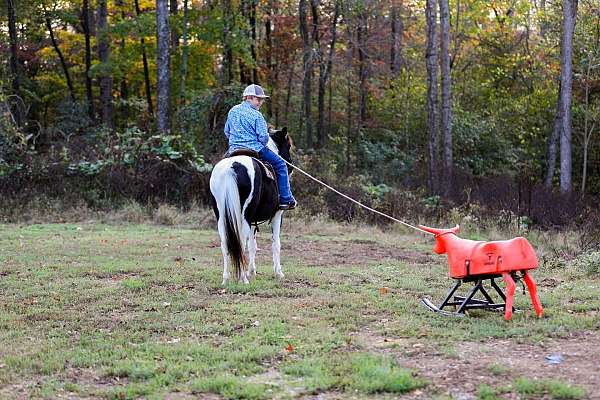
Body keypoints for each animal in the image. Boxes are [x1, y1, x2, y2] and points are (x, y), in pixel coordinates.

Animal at [210, 128, 294, 284]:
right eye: (288, 145)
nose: (290, 166)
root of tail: (232, 166)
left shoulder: (253, 220)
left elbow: (252, 245)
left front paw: (252, 271)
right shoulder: (277, 215)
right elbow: (276, 243)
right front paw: (278, 273)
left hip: (222, 216)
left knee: (225, 244)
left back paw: (226, 278)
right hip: (244, 216)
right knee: (240, 241)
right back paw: (243, 279)